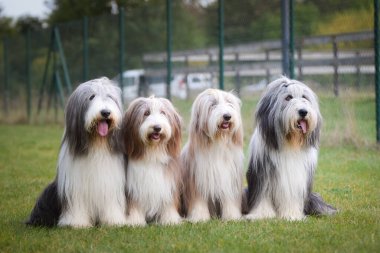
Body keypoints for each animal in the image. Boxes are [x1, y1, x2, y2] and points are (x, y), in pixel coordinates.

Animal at [27, 77, 127, 227]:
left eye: (110, 97)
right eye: (91, 97)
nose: (105, 112)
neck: (97, 144)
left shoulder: (110, 183)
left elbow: (111, 204)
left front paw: (113, 221)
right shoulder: (74, 185)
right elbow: (77, 204)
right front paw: (77, 223)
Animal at [121, 96, 182, 225]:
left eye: (163, 113)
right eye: (146, 113)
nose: (157, 128)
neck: (153, 153)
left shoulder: (167, 185)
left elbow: (168, 203)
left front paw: (170, 219)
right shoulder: (135, 187)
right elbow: (135, 204)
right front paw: (135, 221)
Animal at [180, 88, 243, 221]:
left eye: (229, 103)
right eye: (213, 105)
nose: (227, 116)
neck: (217, 143)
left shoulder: (229, 178)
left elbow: (229, 199)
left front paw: (232, 216)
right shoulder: (197, 179)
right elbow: (198, 201)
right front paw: (200, 217)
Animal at [245, 77, 336, 221]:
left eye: (304, 97)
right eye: (288, 97)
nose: (303, 112)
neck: (290, 142)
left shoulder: (295, 178)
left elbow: (291, 197)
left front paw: (291, 215)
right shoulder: (263, 174)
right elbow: (263, 196)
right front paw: (261, 215)